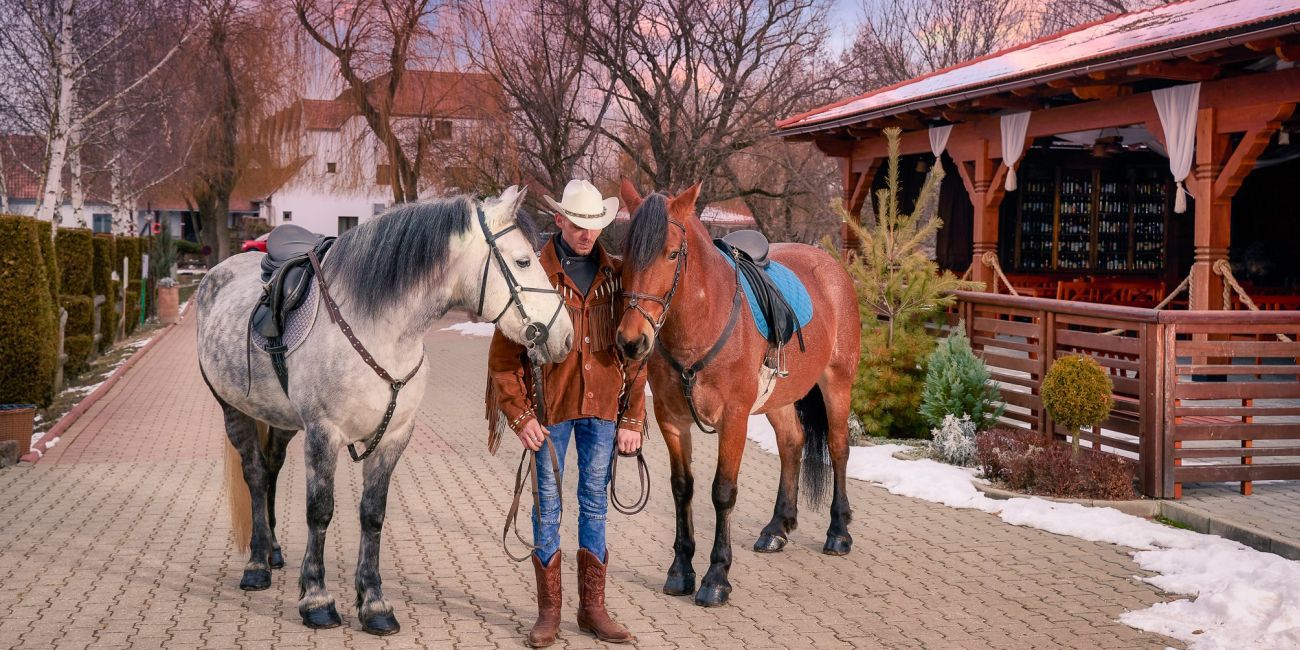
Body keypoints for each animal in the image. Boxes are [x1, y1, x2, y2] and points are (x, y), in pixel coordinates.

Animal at [195, 187, 572, 634]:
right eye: (523, 261)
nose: (565, 337)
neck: (379, 327)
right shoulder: (323, 434)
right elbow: (320, 512)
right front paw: (317, 599)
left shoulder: (394, 437)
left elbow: (372, 515)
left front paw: (374, 604)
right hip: (233, 409)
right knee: (254, 474)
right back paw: (256, 564)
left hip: (279, 419)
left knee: (269, 470)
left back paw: (271, 551)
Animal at [613, 180, 857, 605]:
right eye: (627, 252)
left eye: (672, 253)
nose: (632, 340)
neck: (700, 323)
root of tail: (831, 267)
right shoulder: (671, 420)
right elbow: (682, 489)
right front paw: (681, 569)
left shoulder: (734, 419)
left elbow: (722, 492)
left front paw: (716, 577)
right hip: (779, 398)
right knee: (791, 443)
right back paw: (777, 527)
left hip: (837, 383)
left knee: (839, 447)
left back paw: (838, 532)